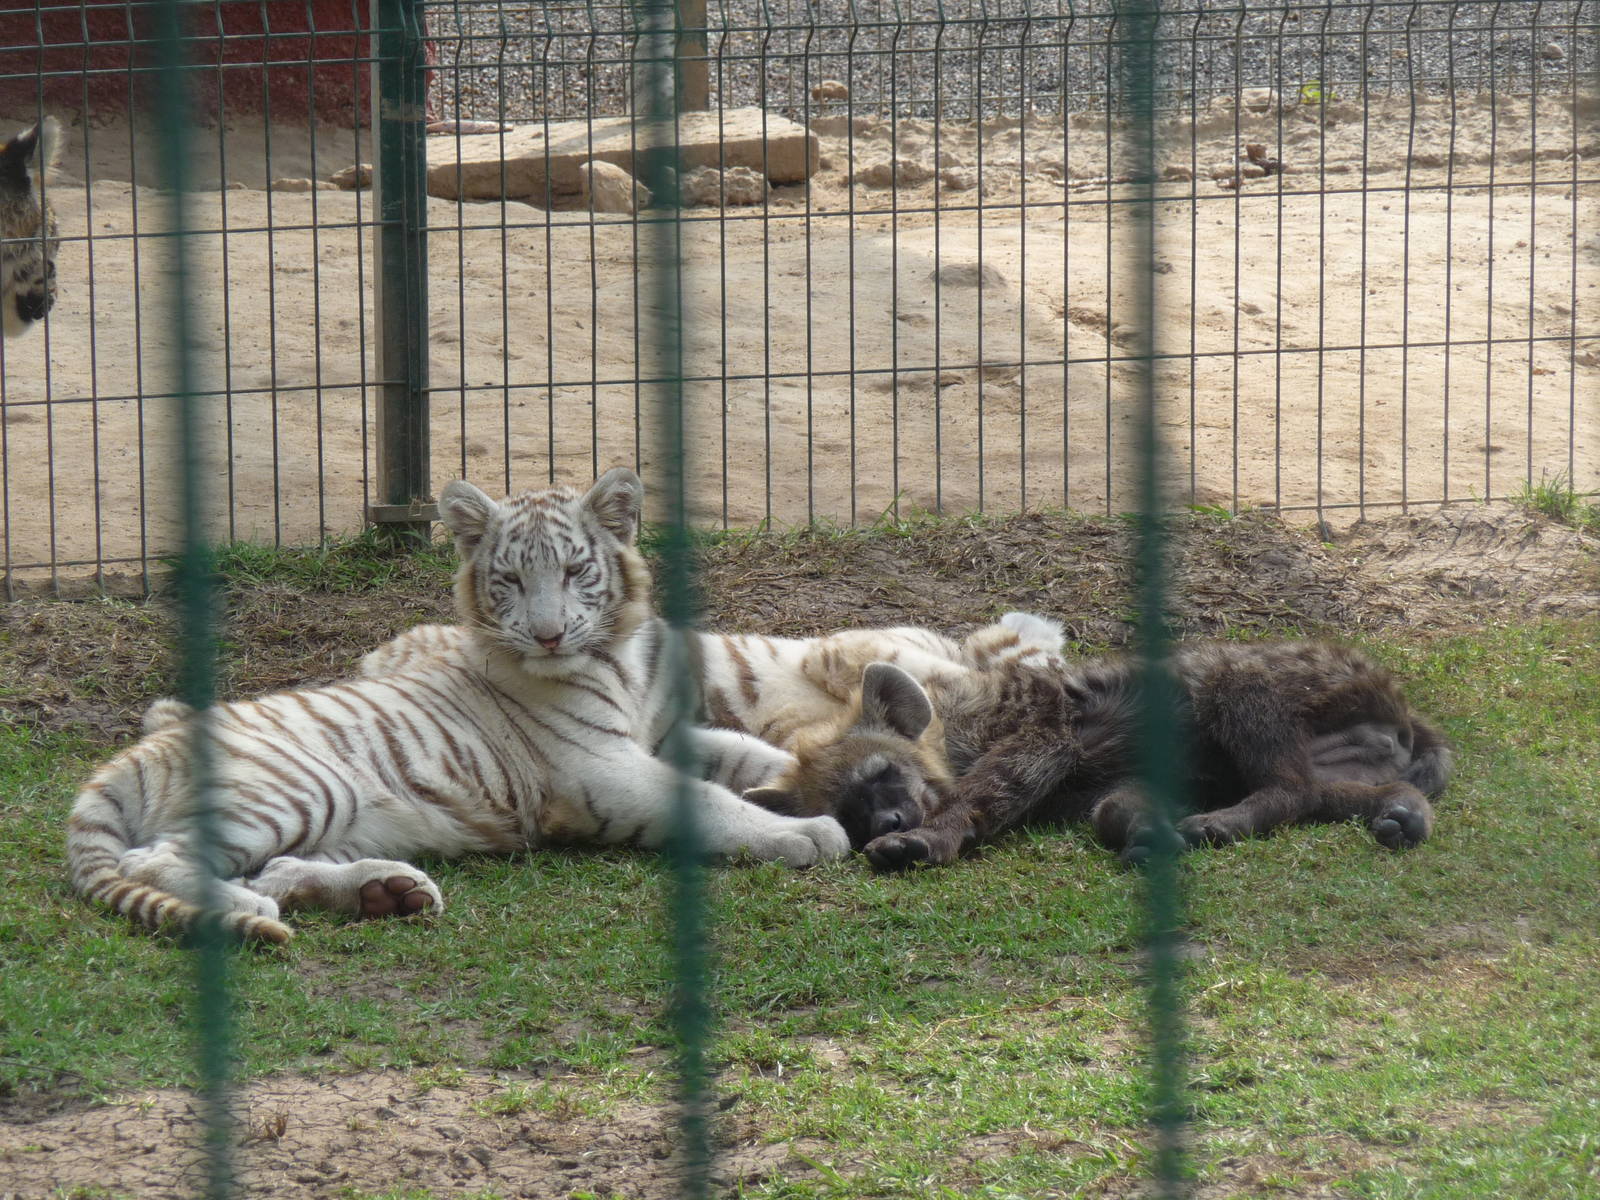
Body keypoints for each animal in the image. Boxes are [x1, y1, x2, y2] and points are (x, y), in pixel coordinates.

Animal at [66, 469, 853, 944]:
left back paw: (389, 892)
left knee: (278, 869)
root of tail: (134, 753)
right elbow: (712, 802)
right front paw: (810, 833)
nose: (547, 633)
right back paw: (245, 910)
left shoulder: (661, 736)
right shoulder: (603, 766)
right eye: (509, 579)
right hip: (295, 790)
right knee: (154, 856)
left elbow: (756, 754)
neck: (616, 656)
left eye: (576, 570)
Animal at [744, 639, 1452, 868]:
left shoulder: (1042, 732)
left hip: (1250, 679)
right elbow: (1113, 807)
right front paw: (1148, 834)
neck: (966, 730)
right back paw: (1400, 815)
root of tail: (1403, 706)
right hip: (1343, 763)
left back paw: (1221, 823)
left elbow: (990, 789)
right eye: (849, 813)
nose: (887, 822)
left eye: (885, 772)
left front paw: (921, 842)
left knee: (1291, 783)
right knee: (1333, 792)